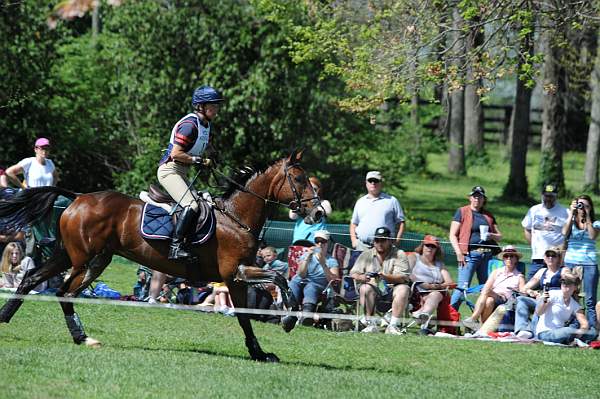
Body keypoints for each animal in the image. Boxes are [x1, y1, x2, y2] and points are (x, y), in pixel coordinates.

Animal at [0, 150, 318, 362]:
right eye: (299, 178)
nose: (317, 213)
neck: (236, 218)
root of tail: (78, 197)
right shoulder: (237, 272)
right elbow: (279, 278)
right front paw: (289, 320)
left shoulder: (236, 279)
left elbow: (245, 314)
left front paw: (259, 352)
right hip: (82, 259)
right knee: (63, 292)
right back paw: (78, 335)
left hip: (81, 257)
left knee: (35, 280)